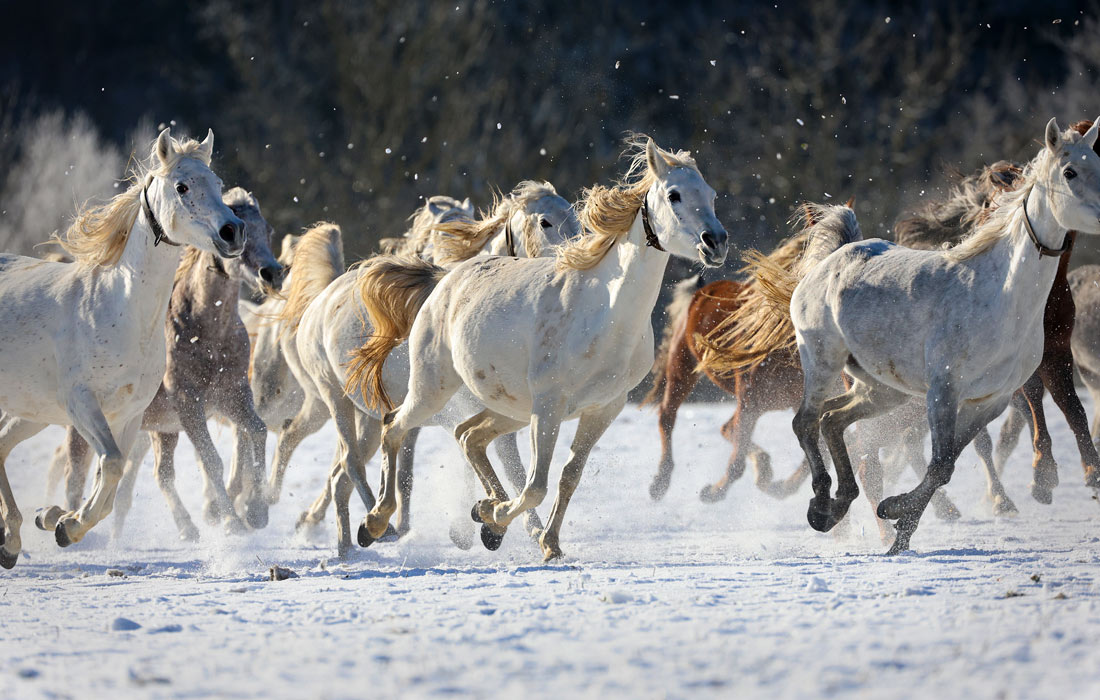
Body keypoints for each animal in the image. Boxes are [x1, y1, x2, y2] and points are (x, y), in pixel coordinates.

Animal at [0, 128, 243, 567]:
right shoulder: (82, 404)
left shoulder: (129, 415)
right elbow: (111, 465)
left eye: (217, 184)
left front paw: (60, 521)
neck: (120, 309)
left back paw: (11, 540)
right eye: (182, 186)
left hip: (32, 411)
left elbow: (110, 483)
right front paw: (65, 523)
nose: (233, 232)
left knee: (0, 445)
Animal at [354, 138, 730, 556]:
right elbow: (535, 485)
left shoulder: (603, 409)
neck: (606, 314)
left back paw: (482, 513)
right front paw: (504, 520)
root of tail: (446, 279)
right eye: (673, 194)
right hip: (433, 389)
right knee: (395, 426)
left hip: (512, 409)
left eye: (712, 194)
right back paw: (374, 523)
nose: (715, 242)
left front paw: (544, 540)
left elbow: (568, 476)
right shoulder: (549, 407)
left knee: (468, 436)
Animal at [774, 117, 1100, 552]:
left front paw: (899, 523)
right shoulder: (944, 389)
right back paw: (822, 506)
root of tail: (833, 257)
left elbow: (947, 463)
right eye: (1070, 171)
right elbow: (942, 461)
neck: (1001, 294)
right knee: (806, 422)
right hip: (823, 362)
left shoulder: (991, 400)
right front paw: (897, 521)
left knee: (833, 421)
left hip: (883, 389)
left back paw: (841, 502)